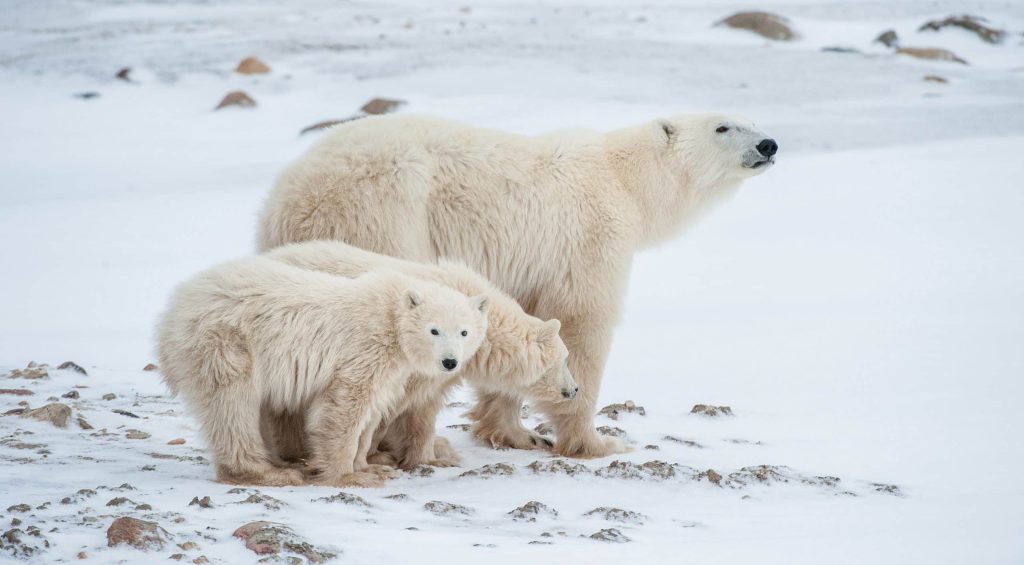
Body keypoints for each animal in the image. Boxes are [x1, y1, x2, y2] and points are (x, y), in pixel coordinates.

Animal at [155, 255, 488, 487]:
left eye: (464, 332)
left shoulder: (391, 369)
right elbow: (344, 406)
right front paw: (349, 476)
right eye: (434, 330)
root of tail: (172, 310)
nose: (450, 362)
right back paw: (268, 473)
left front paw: (371, 467)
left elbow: (371, 411)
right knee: (233, 406)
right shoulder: (363, 349)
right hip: (226, 342)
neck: (390, 315)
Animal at [262, 240, 581, 469]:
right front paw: (379, 454)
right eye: (565, 359)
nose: (574, 389)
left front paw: (428, 456)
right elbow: (390, 406)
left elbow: (423, 408)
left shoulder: (440, 369)